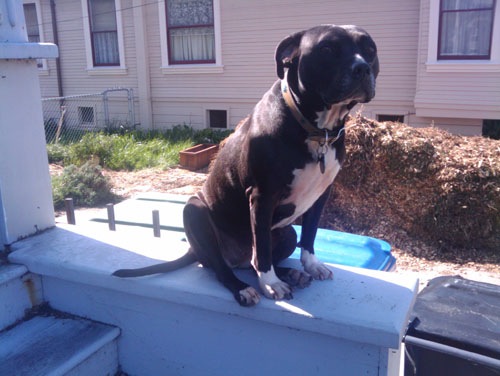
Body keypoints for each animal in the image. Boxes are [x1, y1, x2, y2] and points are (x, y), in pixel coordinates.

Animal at [114, 24, 378, 306]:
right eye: (327, 48)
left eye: (370, 49)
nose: (362, 68)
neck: (316, 130)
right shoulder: (262, 196)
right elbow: (261, 246)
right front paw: (271, 284)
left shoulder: (321, 194)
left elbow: (310, 232)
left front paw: (311, 265)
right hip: (195, 211)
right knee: (223, 268)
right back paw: (244, 288)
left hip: (287, 234)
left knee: (255, 261)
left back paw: (291, 273)